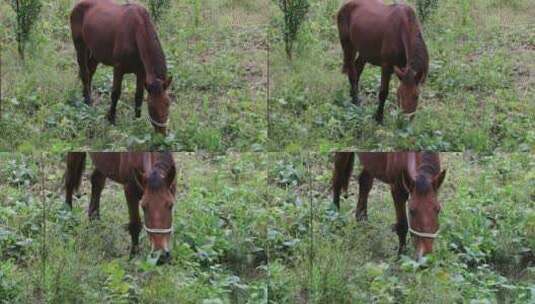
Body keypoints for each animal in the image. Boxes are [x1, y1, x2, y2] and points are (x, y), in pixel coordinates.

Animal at [70, 0, 173, 134]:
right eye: (151, 107)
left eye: (167, 103)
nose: (162, 133)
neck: (136, 32)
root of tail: (78, 5)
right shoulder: (118, 69)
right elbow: (115, 93)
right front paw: (111, 119)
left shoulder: (141, 73)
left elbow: (138, 96)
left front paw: (137, 121)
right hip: (81, 46)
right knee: (85, 74)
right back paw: (88, 103)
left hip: (96, 52)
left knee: (90, 71)